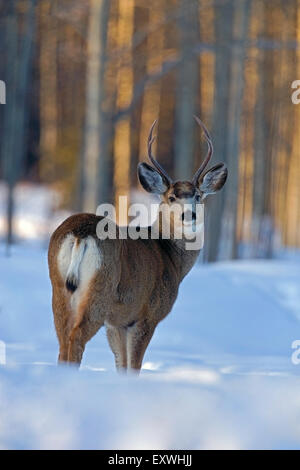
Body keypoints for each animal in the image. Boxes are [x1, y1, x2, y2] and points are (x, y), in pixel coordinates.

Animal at [48, 118, 227, 374]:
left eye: (198, 196)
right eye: (171, 197)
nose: (189, 215)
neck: (170, 257)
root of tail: (81, 235)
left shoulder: (118, 323)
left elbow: (121, 364)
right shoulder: (147, 314)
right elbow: (133, 366)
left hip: (58, 288)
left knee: (62, 341)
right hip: (100, 288)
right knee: (76, 338)